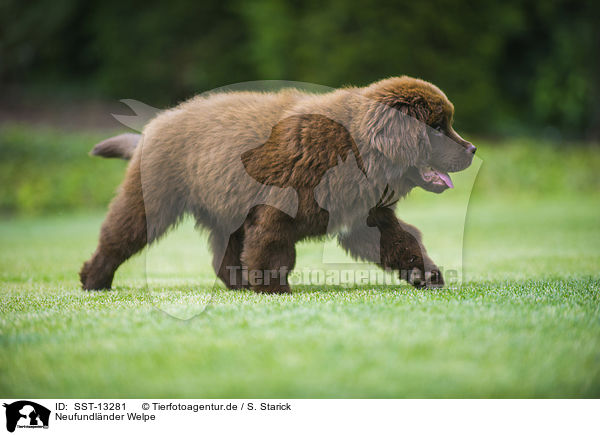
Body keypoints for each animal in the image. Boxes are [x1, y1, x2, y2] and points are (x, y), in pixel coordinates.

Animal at [79, 76, 476, 294]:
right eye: (436, 128)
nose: (472, 149)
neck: (357, 148)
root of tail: (155, 124)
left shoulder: (365, 215)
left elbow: (401, 241)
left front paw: (426, 274)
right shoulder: (278, 207)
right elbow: (273, 249)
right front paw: (274, 290)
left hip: (225, 205)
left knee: (225, 253)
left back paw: (238, 283)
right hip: (154, 197)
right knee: (121, 234)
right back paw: (93, 279)